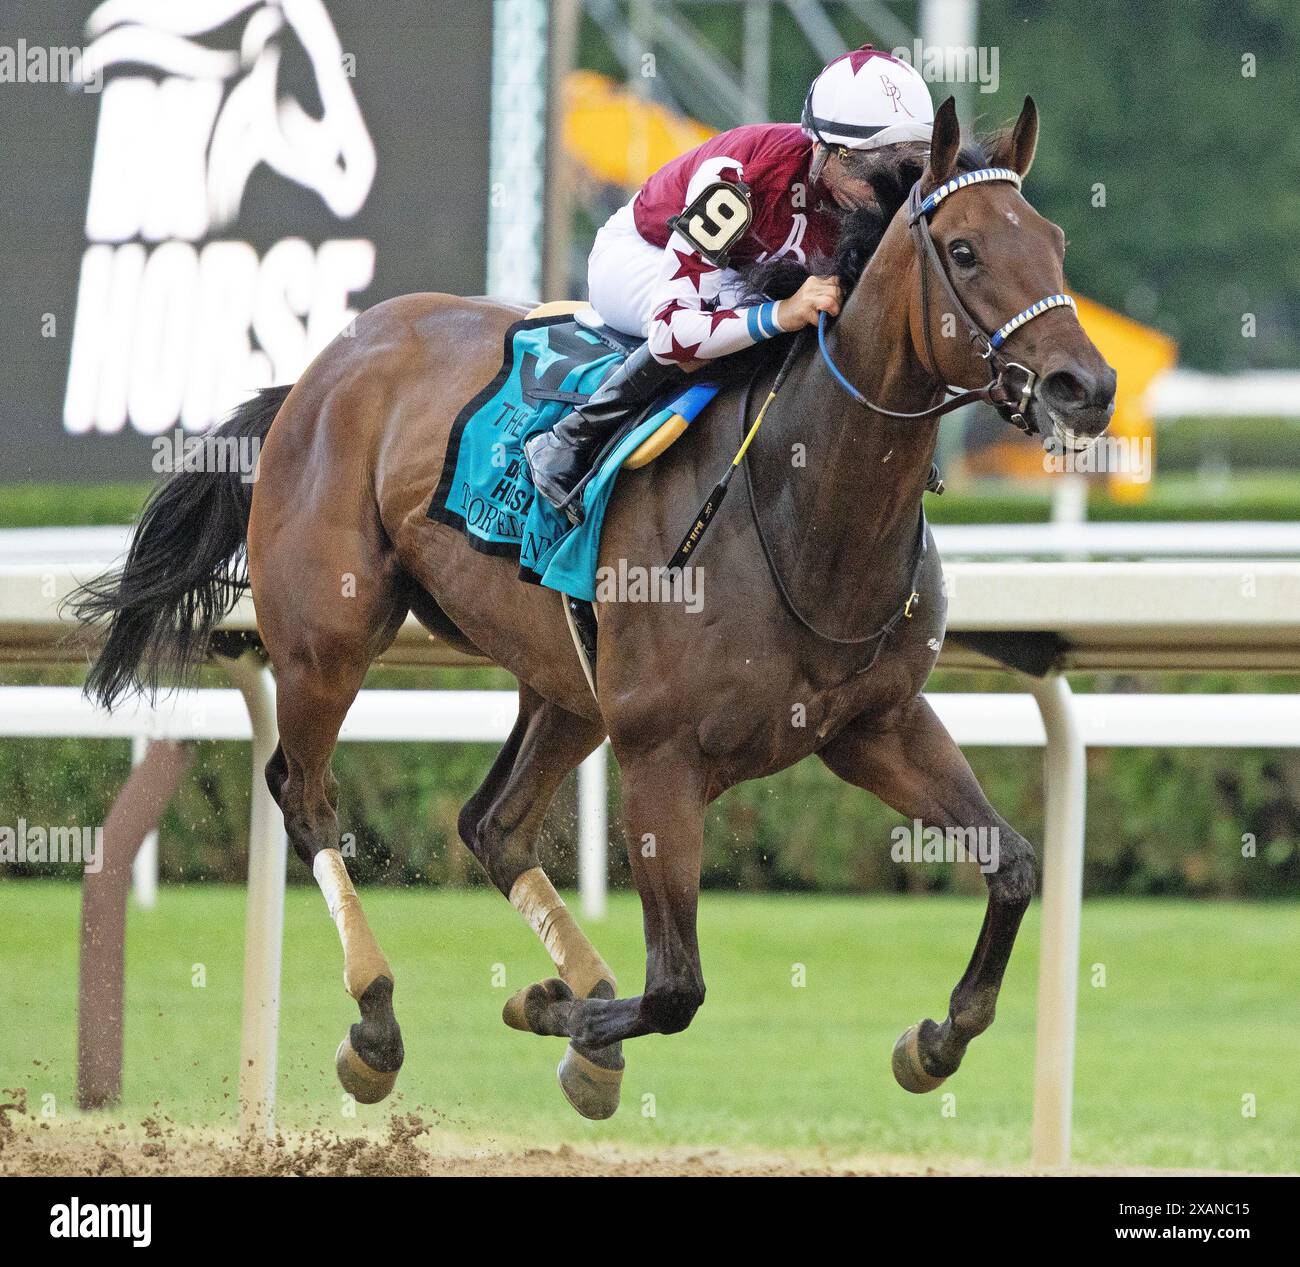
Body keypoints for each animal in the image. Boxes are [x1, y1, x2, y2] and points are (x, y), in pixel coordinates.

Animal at [71, 101, 1112, 1127]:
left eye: (1056, 241)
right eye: (966, 250)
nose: (1087, 387)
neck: (800, 504)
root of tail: (323, 366)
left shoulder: (875, 725)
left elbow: (1017, 864)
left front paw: (935, 1040)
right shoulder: (661, 758)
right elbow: (678, 987)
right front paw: (550, 1011)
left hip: (567, 685)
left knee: (491, 823)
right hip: (326, 640)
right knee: (305, 794)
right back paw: (377, 1022)